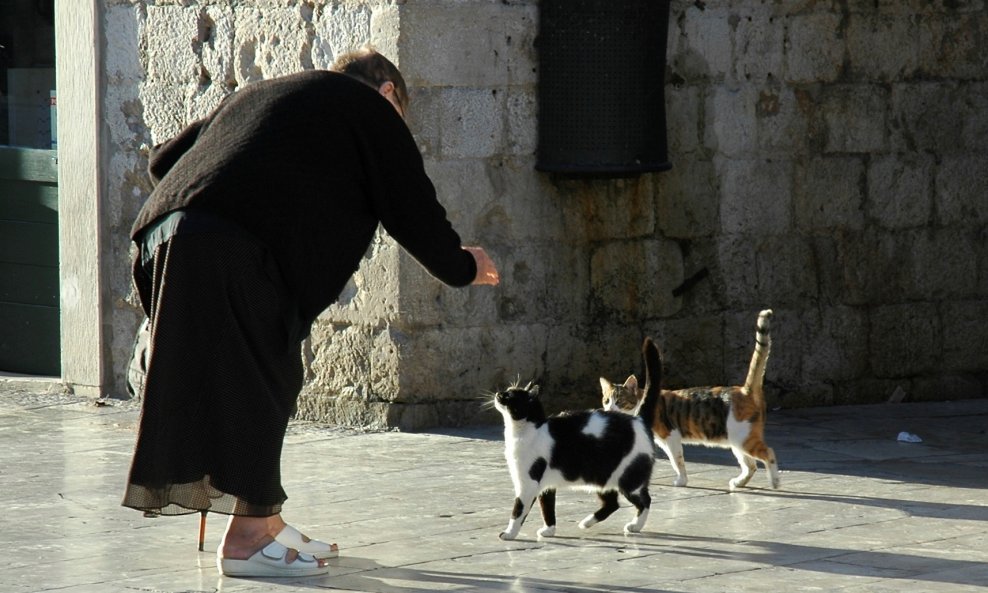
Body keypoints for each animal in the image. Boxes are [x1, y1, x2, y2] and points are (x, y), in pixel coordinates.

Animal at [494, 336, 664, 540]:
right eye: (506, 391)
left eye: (509, 395)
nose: (498, 393)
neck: (528, 429)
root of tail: (638, 418)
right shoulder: (546, 486)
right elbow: (547, 508)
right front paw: (549, 530)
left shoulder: (527, 484)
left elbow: (518, 511)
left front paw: (509, 533)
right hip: (602, 478)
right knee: (612, 503)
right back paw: (587, 522)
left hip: (629, 479)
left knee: (645, 500)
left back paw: (635, 526)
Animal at [604, 310, 780, 490]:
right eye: (606, 401)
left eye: (619, 401)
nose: (609, 410)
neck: (642, 400)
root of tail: (745, 390)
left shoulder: (671, 436)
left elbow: (677, 461)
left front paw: (681, 481)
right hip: (736, 440)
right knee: (750, 465)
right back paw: (739, 482)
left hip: (742, 437)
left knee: (768, 453)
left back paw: (774, 481)